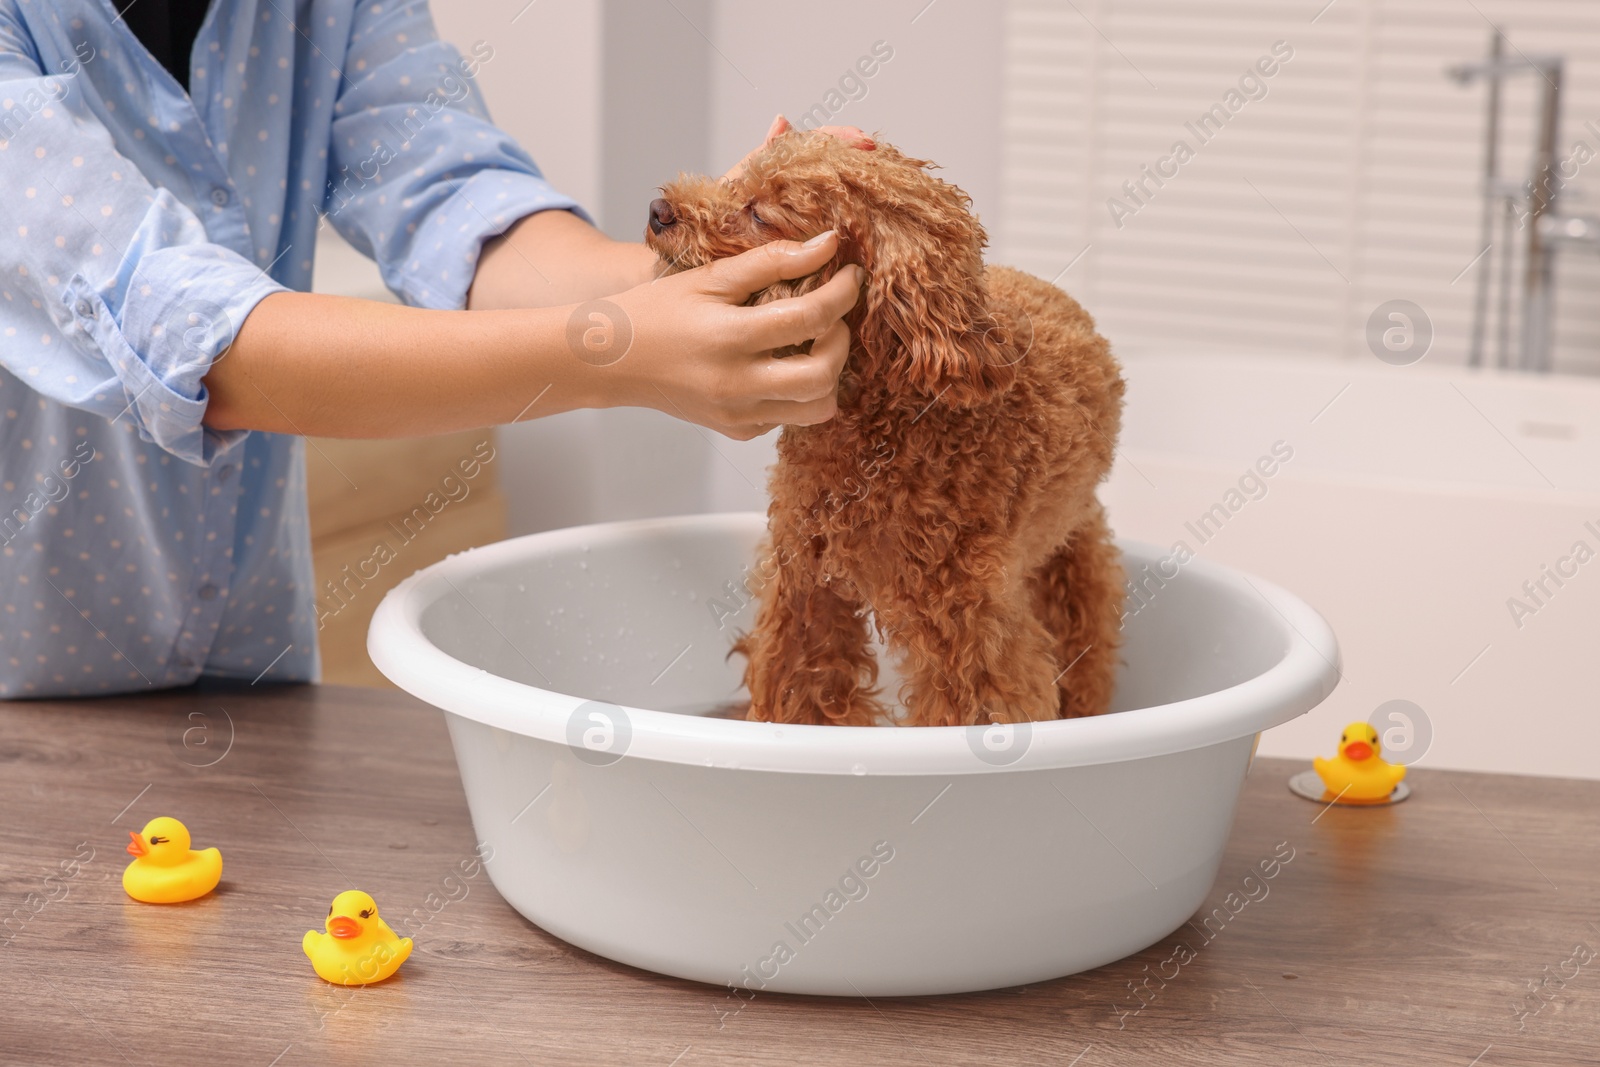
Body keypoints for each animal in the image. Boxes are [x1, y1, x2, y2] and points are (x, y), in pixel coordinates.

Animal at [640, 127, 1126, 726]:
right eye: (737, 182)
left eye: (760, 213)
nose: (659, 211)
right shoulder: (806, 585)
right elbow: (801, 691)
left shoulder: (966, 623)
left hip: (1071, 543)